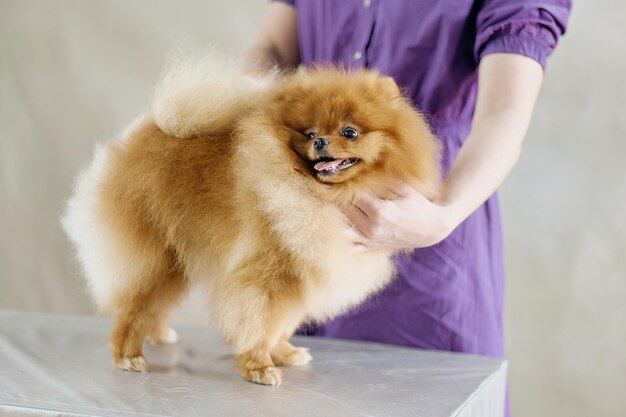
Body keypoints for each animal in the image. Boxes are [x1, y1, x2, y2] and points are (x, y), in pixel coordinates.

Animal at [61, 54, 436, 384]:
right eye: (309, 133)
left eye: (350, 132)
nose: (320, 142)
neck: (321, 194)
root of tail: (147, 133)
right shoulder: (268, 273)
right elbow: (262, 322)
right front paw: (259, 366)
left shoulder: (301, 272)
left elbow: (284, 323)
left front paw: (284, 353)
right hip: (155, 256)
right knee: (135, 307)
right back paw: (128, 355)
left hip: (175, 259)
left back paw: (159, 335)